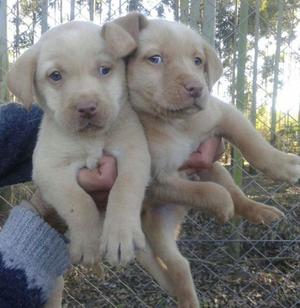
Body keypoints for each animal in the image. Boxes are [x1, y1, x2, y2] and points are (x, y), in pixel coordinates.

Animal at [7, 19, 151, 306]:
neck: (90, 139)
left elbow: (124, 189)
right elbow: (78, 201)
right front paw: (87, 243)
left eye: (105, 70)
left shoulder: (135, 153)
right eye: (55, 76)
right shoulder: (48, 168)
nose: (87, 107)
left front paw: (121, 235)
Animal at [115, 13, 300, 308]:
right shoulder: (158, 179)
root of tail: (177, 216)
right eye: (155, 59)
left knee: (237, 194)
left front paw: (284, 166)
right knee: (180, 268)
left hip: (215, 167)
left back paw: (263, 212)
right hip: (160, 227)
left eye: (198, 61)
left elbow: (253, 144)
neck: (175, 124)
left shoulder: (224, 114)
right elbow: (208, 192)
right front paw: (221, 208)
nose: (196, 88)